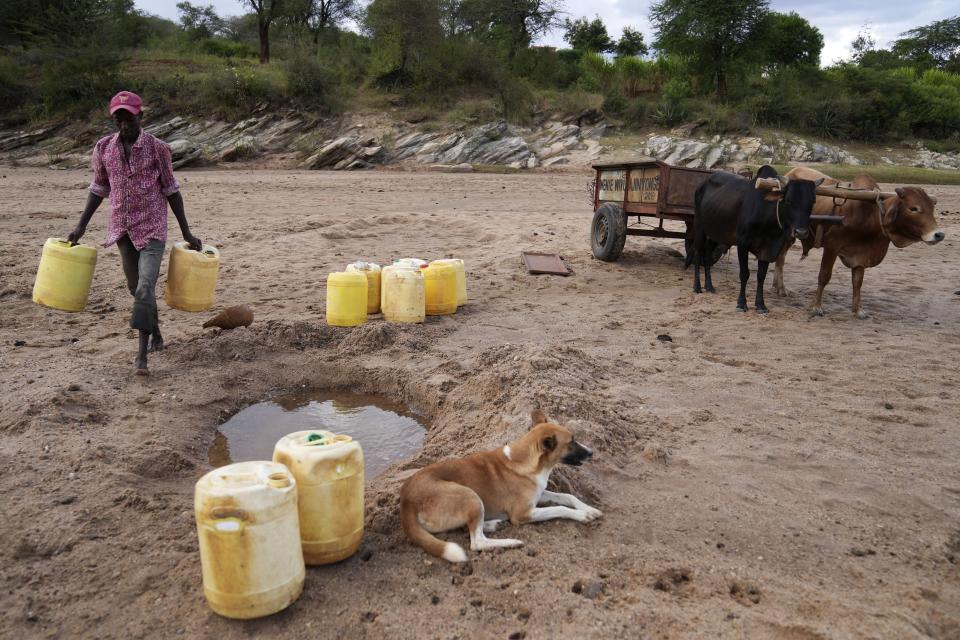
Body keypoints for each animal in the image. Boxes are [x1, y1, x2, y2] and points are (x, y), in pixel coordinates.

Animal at [402, 412, 604, 564]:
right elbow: (559, 508)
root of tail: (407, 499)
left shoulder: (539, 493)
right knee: (477, 542)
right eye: (571, 442)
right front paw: (583, 515)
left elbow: (567, 496)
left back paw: (493, 524)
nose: (592, 452)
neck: (527, 461)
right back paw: (511, 542)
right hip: (470, 496)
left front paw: (589, 508)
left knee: (469, 529)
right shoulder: (523, 514)